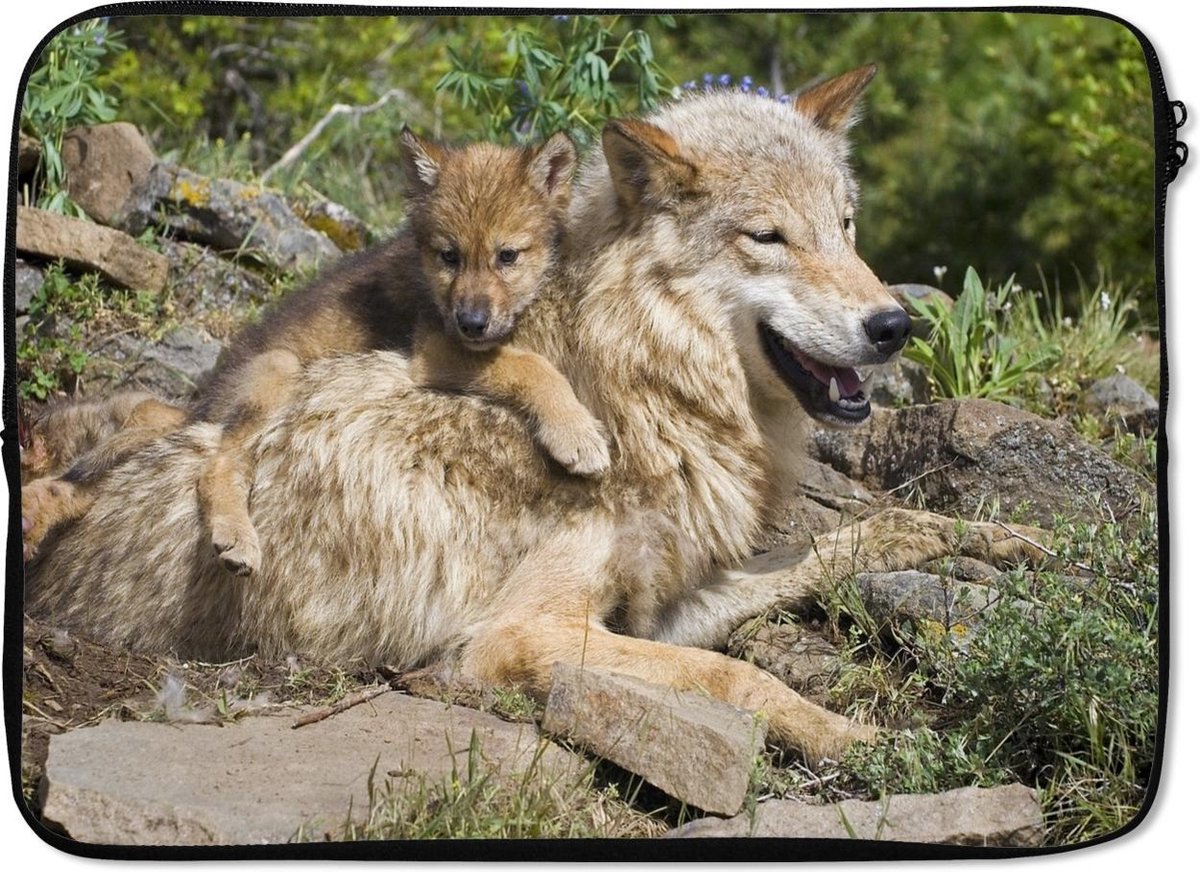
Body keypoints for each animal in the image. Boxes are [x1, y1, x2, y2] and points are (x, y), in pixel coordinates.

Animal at [21, 129, 608, 573]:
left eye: (508, 256)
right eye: (450, 256)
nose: (472, 322)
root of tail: (202, 403)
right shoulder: (435, 349)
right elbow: (531, 365)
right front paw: (577, 434)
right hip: (279, 371)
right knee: (215, 464)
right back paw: (238, 538)